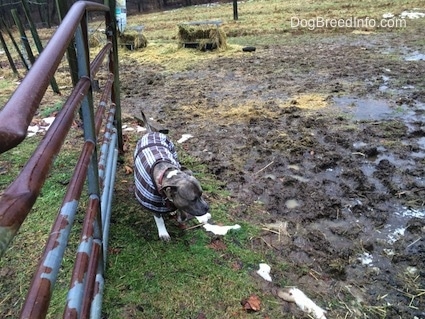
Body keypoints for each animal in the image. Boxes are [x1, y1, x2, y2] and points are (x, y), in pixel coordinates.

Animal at [131, 112, 207, 240]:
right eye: (193, 199)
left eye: (201, 194)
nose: (207, 208)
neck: (168, 174)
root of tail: (151, 132)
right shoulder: (153, 203)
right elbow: (159, 218)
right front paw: (163, 233)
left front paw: (179, 215)